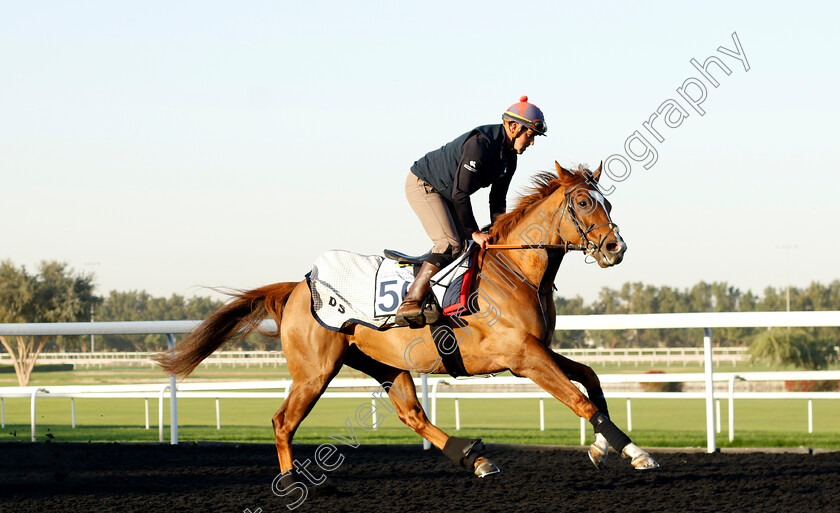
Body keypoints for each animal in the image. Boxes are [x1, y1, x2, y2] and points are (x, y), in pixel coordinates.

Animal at [154, 162, 660, 486]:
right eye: (584, 201)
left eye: (607, 201)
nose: (615, 247)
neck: (514, 270)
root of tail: (299, 284)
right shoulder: (522, 357)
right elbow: (578, 398)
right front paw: (635, 451)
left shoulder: (537, 349)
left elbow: (591, 379)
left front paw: (604, 447)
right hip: (315, 370)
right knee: (283, 421)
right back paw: (293, 480)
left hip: (384, 363)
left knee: (411, 414)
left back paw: (474, 458)